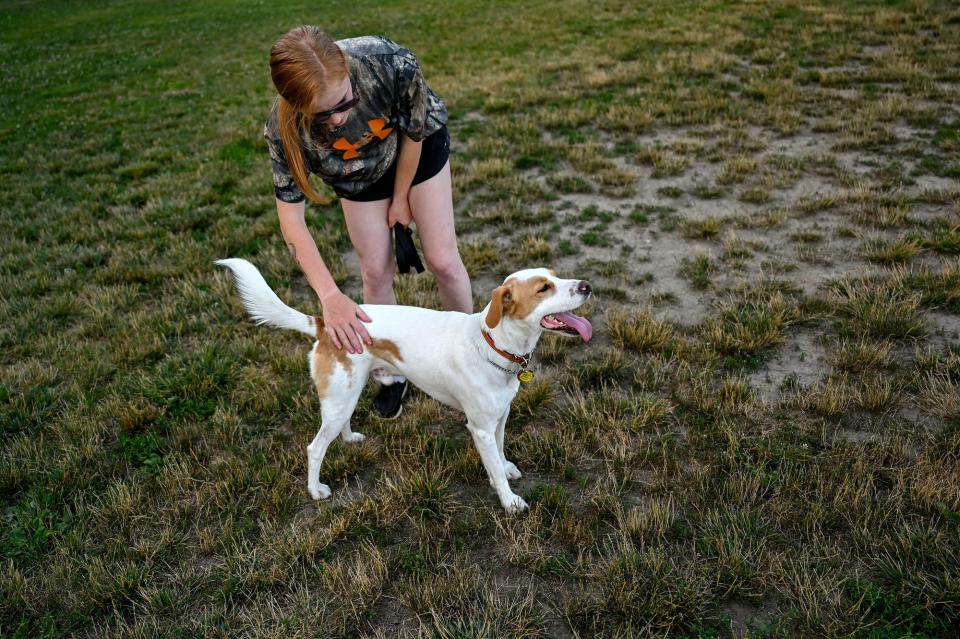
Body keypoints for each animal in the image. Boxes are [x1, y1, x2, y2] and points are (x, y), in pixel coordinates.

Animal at [218, 258, 592, 512]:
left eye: (557, 276)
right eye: (544, 288)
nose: (587, 285)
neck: (492, 344)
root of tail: (326, 323)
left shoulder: (500, 417)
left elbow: (500, 455)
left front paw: (509, 468)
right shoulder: (480, 428)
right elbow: (495, 471)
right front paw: (510, 503)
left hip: (346, 395)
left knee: (337, 427)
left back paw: (349, 439)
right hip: (339, 397)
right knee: (314, 448)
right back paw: (316, 490)